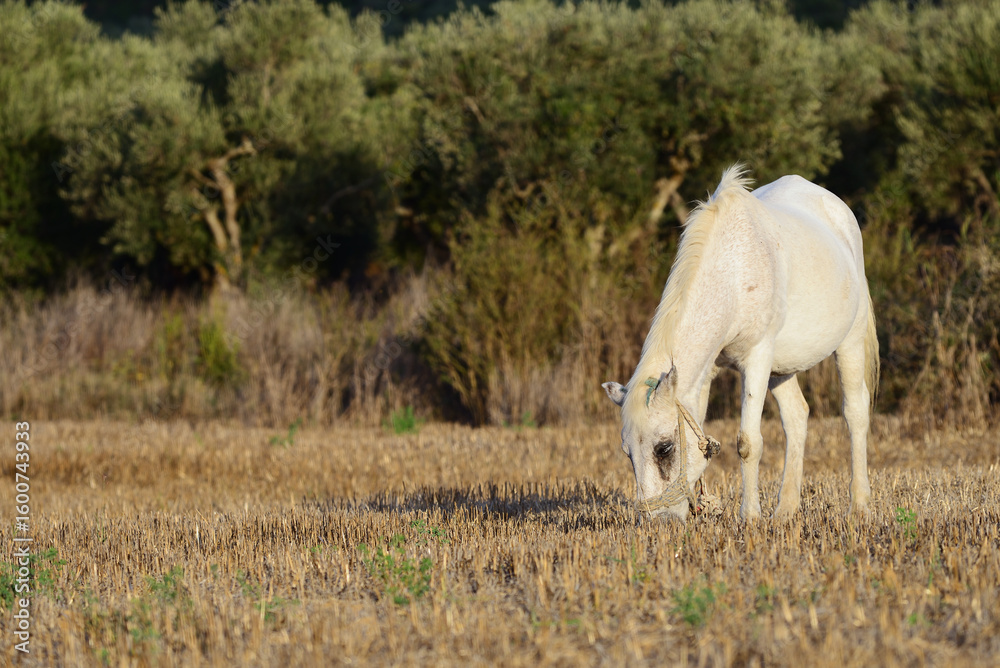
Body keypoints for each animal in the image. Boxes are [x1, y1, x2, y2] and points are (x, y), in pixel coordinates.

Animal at [602, 165, 879, 521]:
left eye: (664, 448)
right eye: (628, 453)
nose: (658, 522)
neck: (732, 273)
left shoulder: (756, 359)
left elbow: (748, 443)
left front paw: (750, 518)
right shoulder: (708, 371)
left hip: (849, 341)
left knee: (855, 412)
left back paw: (859, 506)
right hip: (782, 368)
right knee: (797, 417)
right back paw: (785, 511)